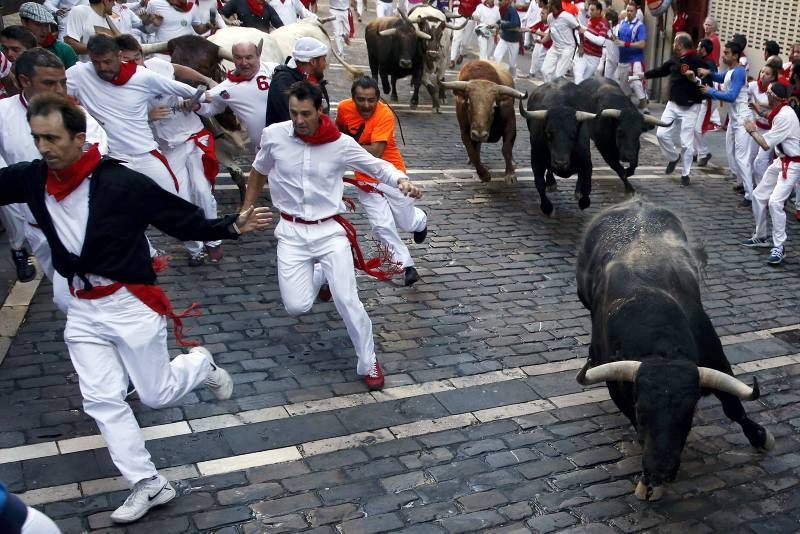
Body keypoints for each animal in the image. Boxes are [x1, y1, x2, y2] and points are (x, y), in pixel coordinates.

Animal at [576, 201, 776, 502]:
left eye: (688, 414)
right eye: (641, 410)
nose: (661, 470)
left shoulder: (717, 360)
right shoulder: (619, 390)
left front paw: (761, 436)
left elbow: (734, 407)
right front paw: (648, 483)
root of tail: (634, 202)